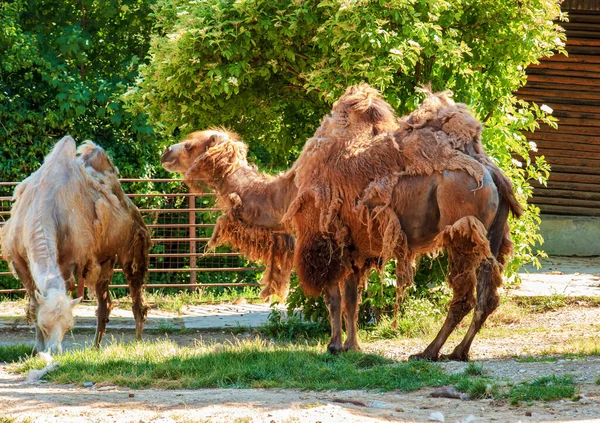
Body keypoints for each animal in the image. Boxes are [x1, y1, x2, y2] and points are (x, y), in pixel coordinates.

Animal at [1, 137, 150, 354]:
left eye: (68, 326)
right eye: (45, 325)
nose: (55, 350)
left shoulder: (68, 261)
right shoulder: (19, 261)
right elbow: (35, 306)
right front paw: (37, 349)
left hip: (134, 245)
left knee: (136, 295)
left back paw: (138, 342)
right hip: (105, 259)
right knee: (105, 303)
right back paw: (95, 347)